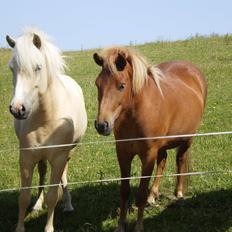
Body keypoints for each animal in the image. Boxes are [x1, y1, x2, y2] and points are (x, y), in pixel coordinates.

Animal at [6, 28, 88, 231]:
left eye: (38, 67)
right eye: (12, 68)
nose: (17, 109)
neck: (47, 117)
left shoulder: (58, 157)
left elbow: (53, 196)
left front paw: (49, 227)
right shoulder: (26, 157)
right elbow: (23, 196)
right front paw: (20, 226)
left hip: (68, 153)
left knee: (63, 174)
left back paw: (68, 204)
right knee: (43, 171)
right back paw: (37, 204)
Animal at [93, 46, 208, 231]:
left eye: (121, 85)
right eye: (98, 84)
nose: (102, 125)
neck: (136, 114)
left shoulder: (147, 155)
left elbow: (140, 192)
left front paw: (139, 226)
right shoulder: (123, 153)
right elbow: (124, 191)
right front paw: (121, 225)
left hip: (186, 140)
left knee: (180, 161)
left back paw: (179, 194)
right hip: (161, 146)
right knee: (163, 161)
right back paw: (153, 195)